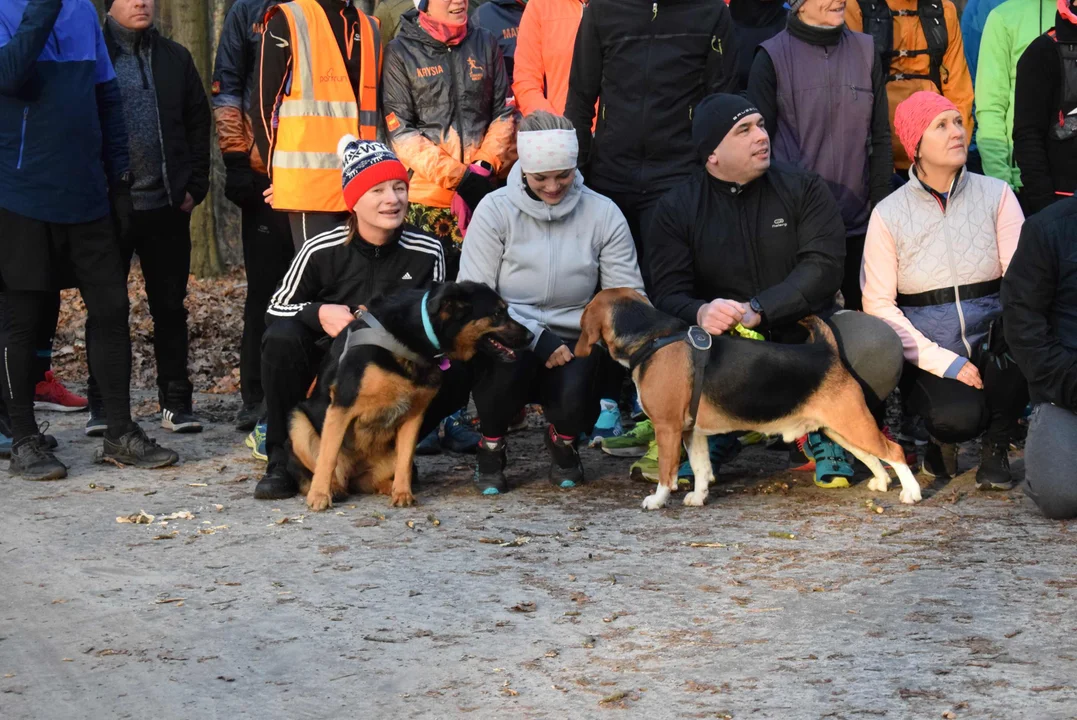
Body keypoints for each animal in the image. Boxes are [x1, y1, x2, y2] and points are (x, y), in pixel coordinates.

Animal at [290, 279, 534, 510]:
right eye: (498, 313)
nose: (532, 336)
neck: (415, 336)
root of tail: (354, 475)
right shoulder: (342, 405)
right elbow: (328, 457)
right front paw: (319, 496)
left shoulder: (415, 416)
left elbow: (405, 461)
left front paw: (402, 493)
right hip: (298, 422)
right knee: (326, 468)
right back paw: (333, 488)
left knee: (373, 480)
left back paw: (388, 487)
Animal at [577, 288, 921, 510]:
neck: (652, 338)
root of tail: (827, 352)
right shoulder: (691, 432)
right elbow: (700, 467)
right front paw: (699, 497)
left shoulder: (667, 428)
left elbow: (666, 472)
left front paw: (657, 500)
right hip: (839, 429)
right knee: (872, 455)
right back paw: (881, 482)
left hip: (852, 423)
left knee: (894, 450)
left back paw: (911, 493)